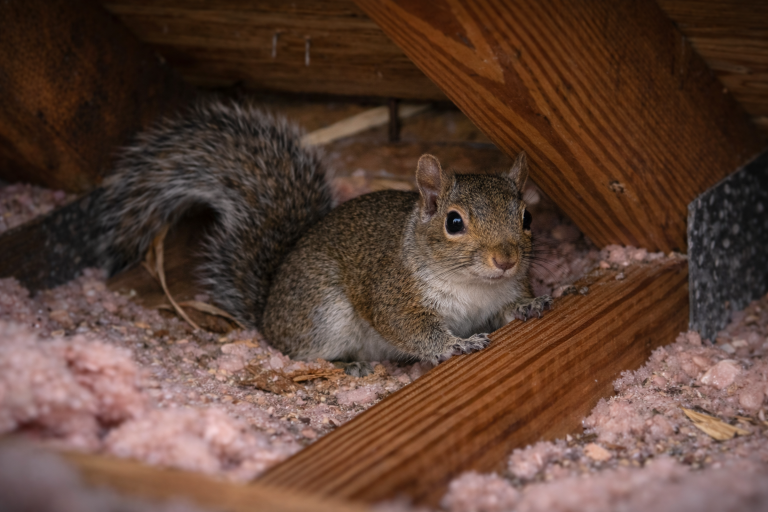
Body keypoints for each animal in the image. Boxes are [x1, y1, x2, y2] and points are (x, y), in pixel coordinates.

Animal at [96, 99, 552, 376]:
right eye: (454, 223)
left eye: (527, 216)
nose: (506, 260)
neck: (473, 286)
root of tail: (268, 313)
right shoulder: (393, 294)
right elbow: (410, 328)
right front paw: (453, 345)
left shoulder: (504, 291)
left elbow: (511, 307)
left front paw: (532, 305)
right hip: (323, 314)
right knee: (302, 355)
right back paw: (348, 366)